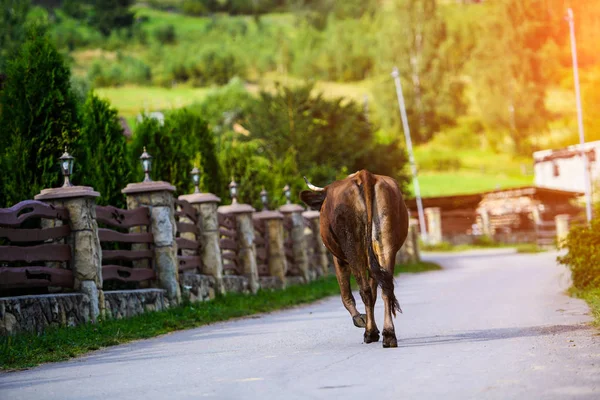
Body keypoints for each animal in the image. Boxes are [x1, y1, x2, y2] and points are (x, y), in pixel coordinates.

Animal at [298, 169, 408, 346]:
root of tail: (364, 174)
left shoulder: (338, 259)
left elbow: (345, 294)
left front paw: (360, 320)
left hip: (352, 248)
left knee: (365, 290)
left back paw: (370, 333)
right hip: (386, 244)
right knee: (386, 288)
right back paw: (389, 335)